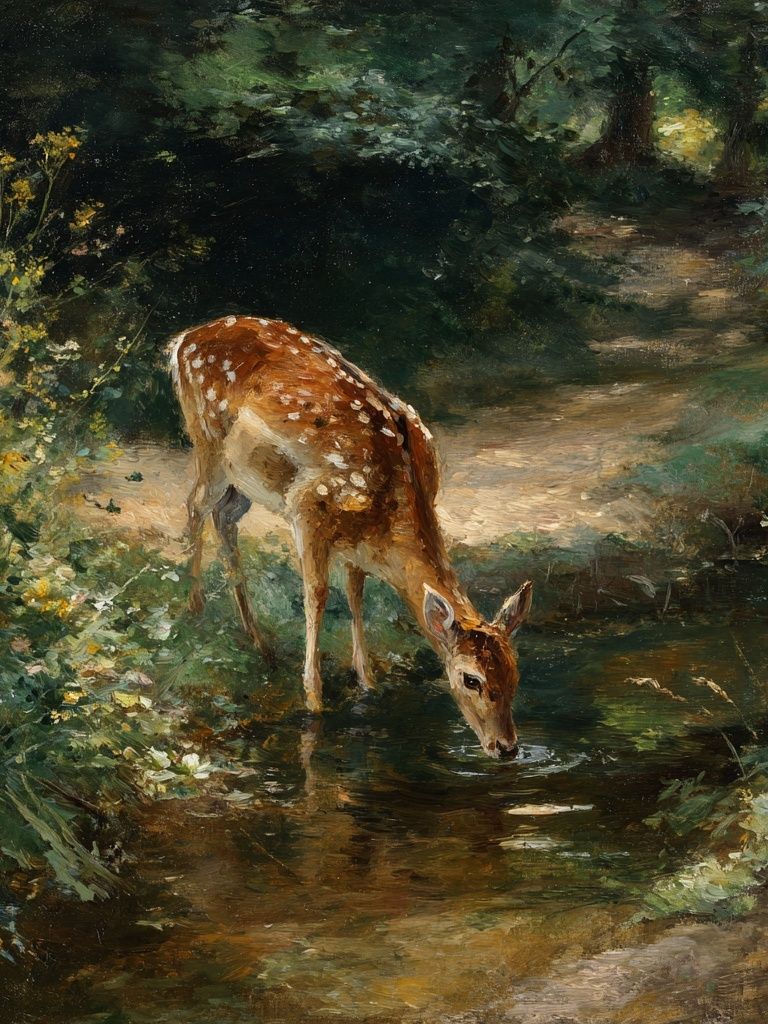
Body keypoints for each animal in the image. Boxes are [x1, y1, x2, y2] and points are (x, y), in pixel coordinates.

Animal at [169, 315, 533, 758]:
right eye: (471, 679)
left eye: (515, 673)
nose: (506, 747)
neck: (392, 508)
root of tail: (182, 340)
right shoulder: (308, 507)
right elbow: (317, 595)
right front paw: (314, 699)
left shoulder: (356, 544)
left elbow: (355, 593)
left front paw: (368, 682)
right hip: (207, 440)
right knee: (194, 505)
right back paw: (195, 608)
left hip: (245, 479)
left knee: (223, 516)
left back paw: (257, 638)